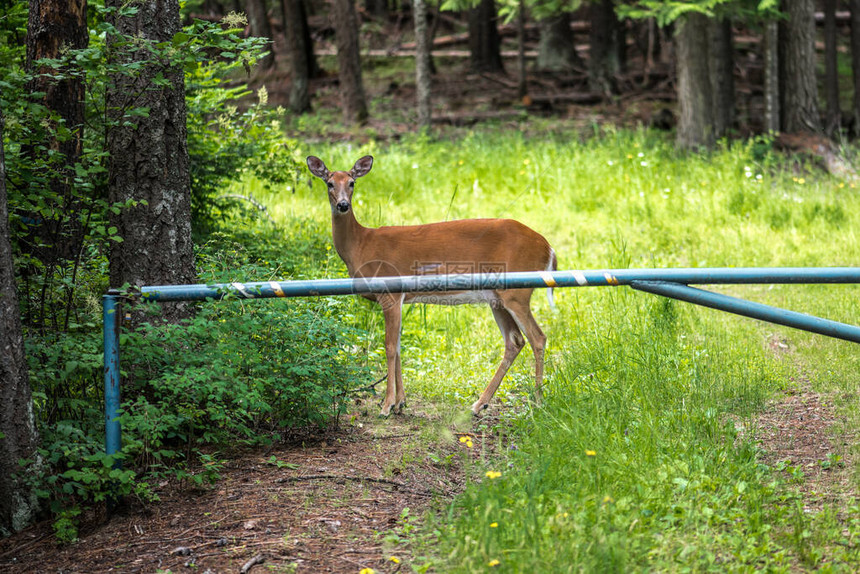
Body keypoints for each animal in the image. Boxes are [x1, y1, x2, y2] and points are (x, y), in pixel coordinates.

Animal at [308, 156, 556, 418]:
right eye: (329, 183)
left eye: (352, 182)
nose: (343, 205)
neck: (361, 245)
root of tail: (548, 247)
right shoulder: (400, 298)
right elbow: (398, 347)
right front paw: (401, 402)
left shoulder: (390, 293)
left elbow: (389, 347)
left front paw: (386, 405)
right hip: (497, 297)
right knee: (515, 341)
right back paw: (479, 404)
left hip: (517, 292)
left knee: (537, 337)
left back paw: (537, 402)